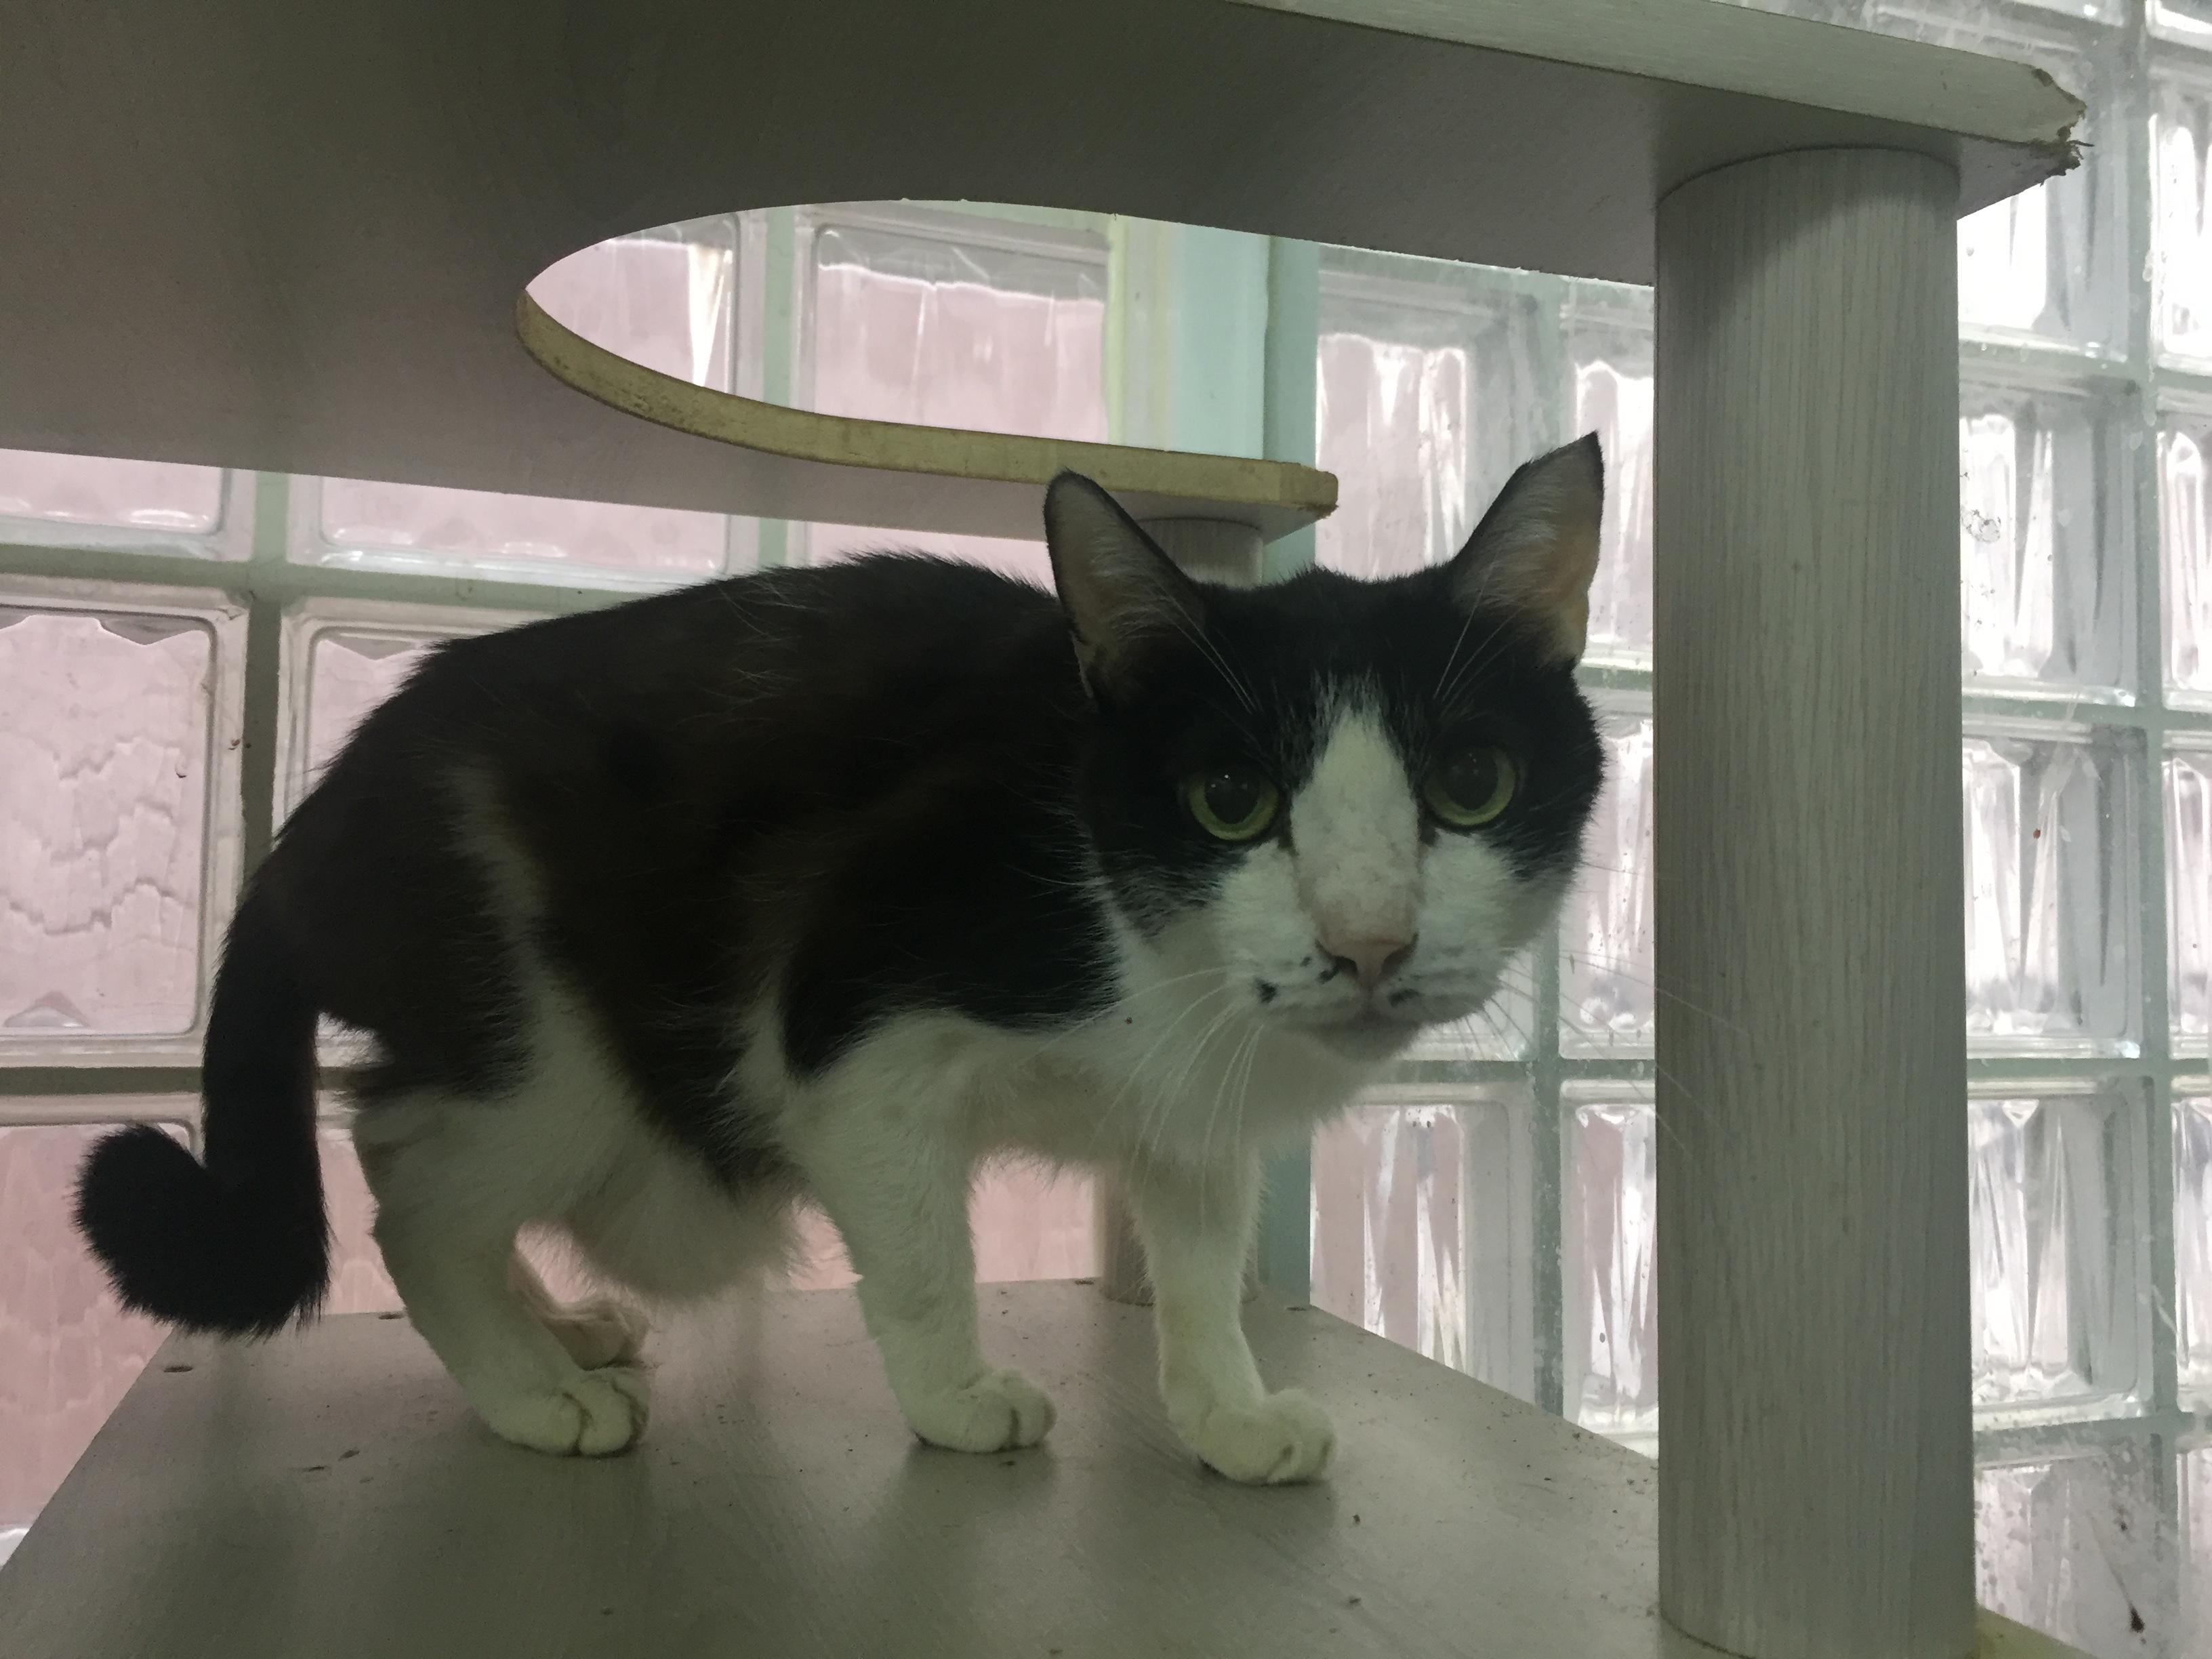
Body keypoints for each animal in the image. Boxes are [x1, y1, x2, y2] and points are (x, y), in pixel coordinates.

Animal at [76, 436, 1606, 1484]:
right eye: (1230, 800)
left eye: (1469, 783)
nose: (1368, 937)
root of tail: (303, 834)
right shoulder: (850, 1029)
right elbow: (923, 1249)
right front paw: (958, 1400)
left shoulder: (1197, 1109)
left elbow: (1195, 1254)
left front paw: (1225, 1409)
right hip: (555, 1049)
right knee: (408, 1179)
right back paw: (533, 1390)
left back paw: (561, 1330)